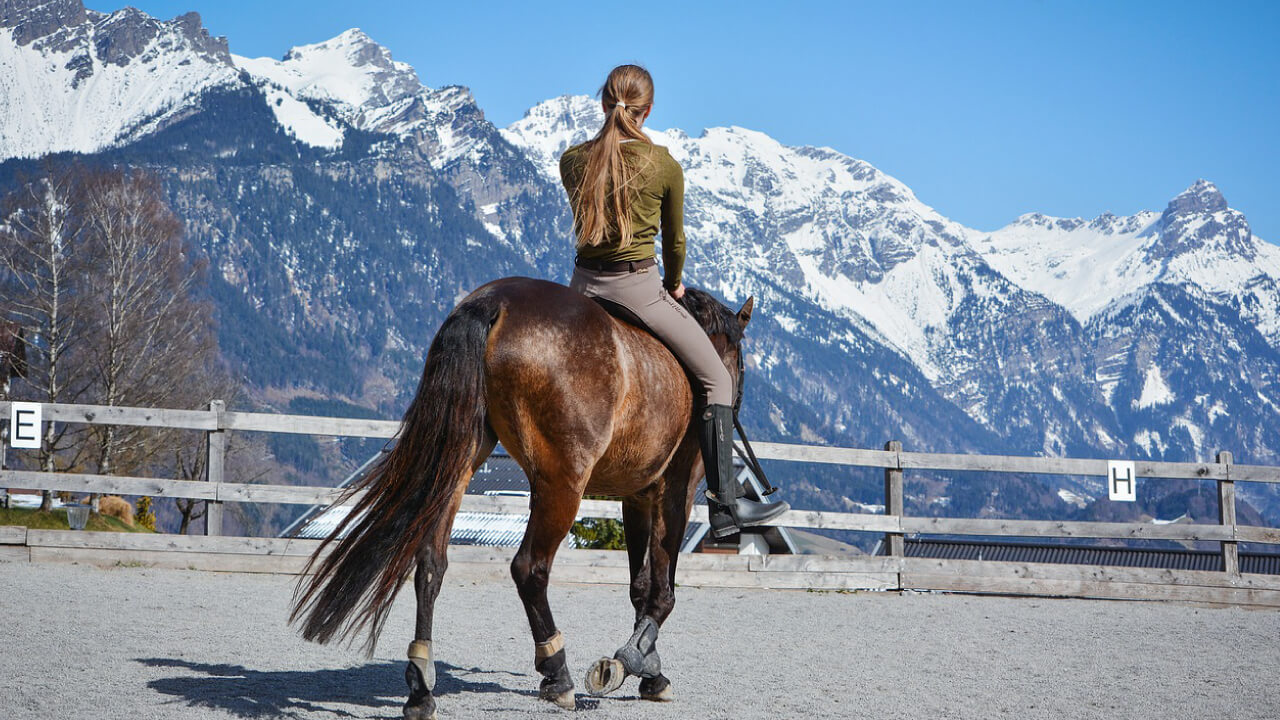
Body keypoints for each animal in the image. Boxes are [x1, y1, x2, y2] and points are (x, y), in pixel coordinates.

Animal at [291, 276, 755, 719]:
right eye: (740, 364)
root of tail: (494, 303)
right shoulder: (674, 492)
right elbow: (662, 591)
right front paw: (631, 663)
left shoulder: (637, 496)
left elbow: (639, 587)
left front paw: (646, 666)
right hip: (562, 483)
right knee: (529, 569)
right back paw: (557, 673)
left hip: (459, 462)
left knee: (430, 564)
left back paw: (421, 687)